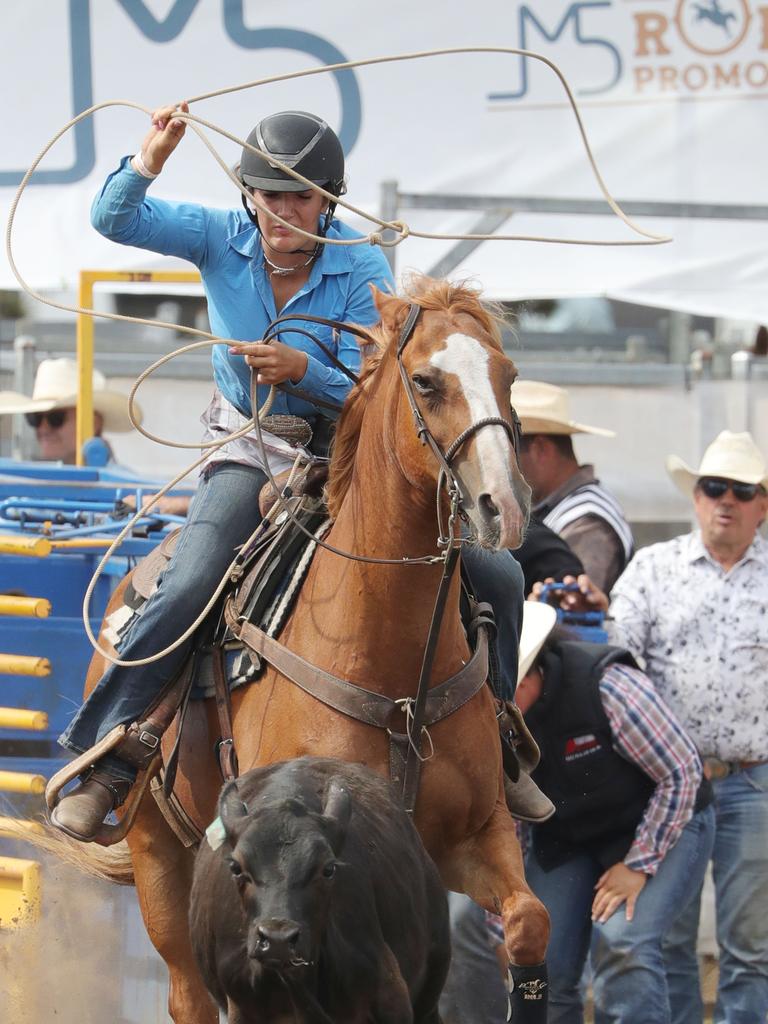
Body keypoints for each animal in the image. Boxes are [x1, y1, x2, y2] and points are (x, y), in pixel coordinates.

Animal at [63, 276, 548, 1019]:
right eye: (426, 381)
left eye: (509, 375)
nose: (506, 506)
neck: (391, 666)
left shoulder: (475, 838)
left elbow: (529, 922)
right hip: (158, 856)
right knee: (189, 993)